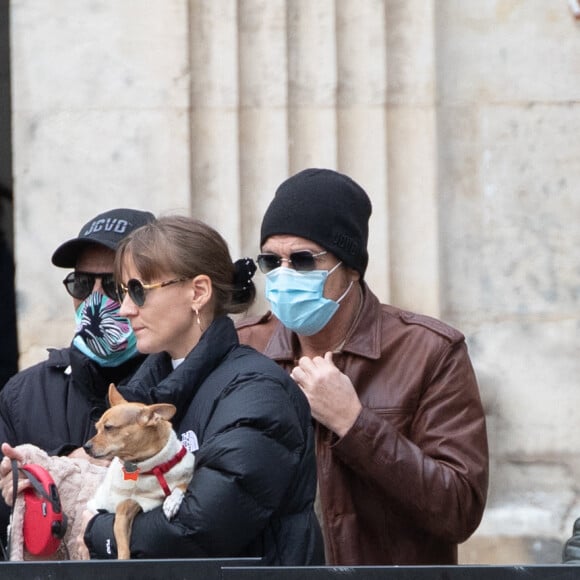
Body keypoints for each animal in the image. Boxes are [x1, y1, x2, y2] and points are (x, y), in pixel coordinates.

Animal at [82, 386, 195, 556]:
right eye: (97, 429)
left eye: (108, 428)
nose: (85, 447)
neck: (153, 468)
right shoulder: (125, 512)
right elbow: (123, 550)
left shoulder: (186, 474)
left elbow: (181, 486)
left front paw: (171, 502)